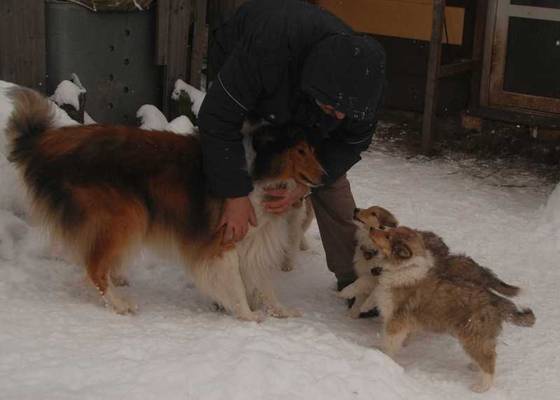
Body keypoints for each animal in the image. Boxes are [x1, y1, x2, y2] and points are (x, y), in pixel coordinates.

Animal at [7, 87, 323, 321]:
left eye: (312, 148)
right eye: (300, 150)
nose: (325, 175)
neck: (258, 168)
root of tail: (49, 142)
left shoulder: (256, 239)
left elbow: (263, 282)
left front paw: (280, 310)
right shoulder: (226, 240)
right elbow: (235, 282)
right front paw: (247, 314)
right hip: (128, 214)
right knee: (93, 269)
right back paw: (119, 303)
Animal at [344, 226, 535, 392]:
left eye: (387, 236)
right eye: (388, 231)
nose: (372, 229)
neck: (404, 267)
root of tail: (496, 300)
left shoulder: (396, 321)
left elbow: (389, 341)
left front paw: (383, 356)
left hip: (472, 335)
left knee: (490, 360)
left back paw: (481, 387)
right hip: (480, 337)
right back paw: (474, 366)